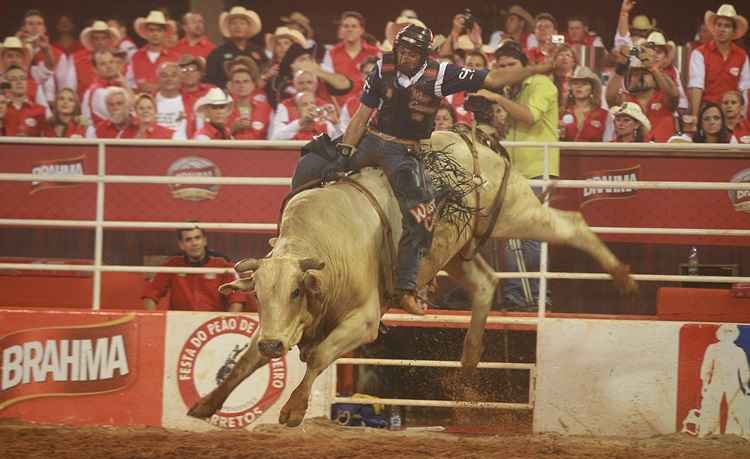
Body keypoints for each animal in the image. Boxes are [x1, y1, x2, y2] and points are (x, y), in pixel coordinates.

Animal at [185, 129, 636, 428]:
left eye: (297, 290)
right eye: (259, 295)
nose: (274, 343)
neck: (326, 245)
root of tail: (475, 141)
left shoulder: (363, 321)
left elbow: (318, 356)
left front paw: (294, 409)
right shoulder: (277, 326)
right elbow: (246, 360)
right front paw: (206, 404)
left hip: (515, 212)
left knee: (571, 225)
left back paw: (625, 278)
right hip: (452, 252)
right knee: (485, 283)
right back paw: (469, 358)